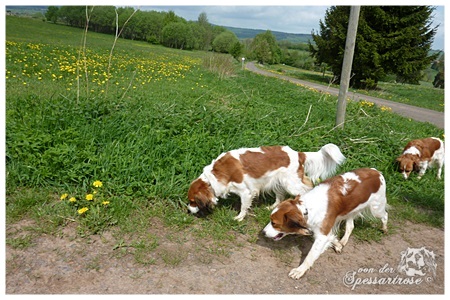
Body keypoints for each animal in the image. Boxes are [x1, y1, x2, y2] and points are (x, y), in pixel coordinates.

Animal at [186, 144, 344, 221]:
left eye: (192, 201)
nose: (188, 210)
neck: (214, 176)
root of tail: (298, 153)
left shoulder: (245, 192)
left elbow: (243, 207)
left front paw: (239, 218)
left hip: (291, 184)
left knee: (306, 190)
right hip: (278, 182)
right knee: (280, 196)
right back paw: (272, 207)